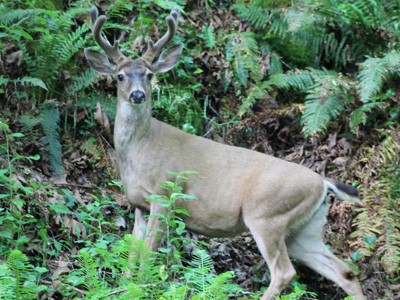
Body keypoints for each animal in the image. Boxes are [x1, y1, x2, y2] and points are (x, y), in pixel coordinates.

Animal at [83, 5, 366, 300]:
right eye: (120, 75)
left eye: (149, 75)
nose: (138, 95)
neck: (139, 150)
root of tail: (322, 182)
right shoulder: (139, 204)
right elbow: (131, 254)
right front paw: (125, 286)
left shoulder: (165, 196)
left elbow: (147, 255)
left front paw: (139, 288)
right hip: (304, 229)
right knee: (345, 271)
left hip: (266, 215)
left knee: (285, 272)